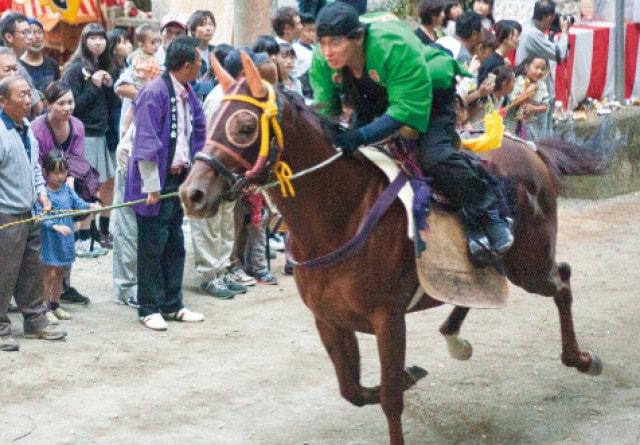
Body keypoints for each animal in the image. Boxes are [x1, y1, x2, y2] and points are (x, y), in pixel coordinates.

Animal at [179, 54, 600, 444]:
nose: (191, 194)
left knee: (562, 280)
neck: (341, 215)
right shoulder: (328, 318)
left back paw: (581, 358)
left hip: (530, 262)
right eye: (210, 119)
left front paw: (401, 382)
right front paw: (408, 375)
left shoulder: (389, 319)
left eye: (245, 127)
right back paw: (455, 337)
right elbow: (352, 390)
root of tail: (530, 148)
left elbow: (390, 400)